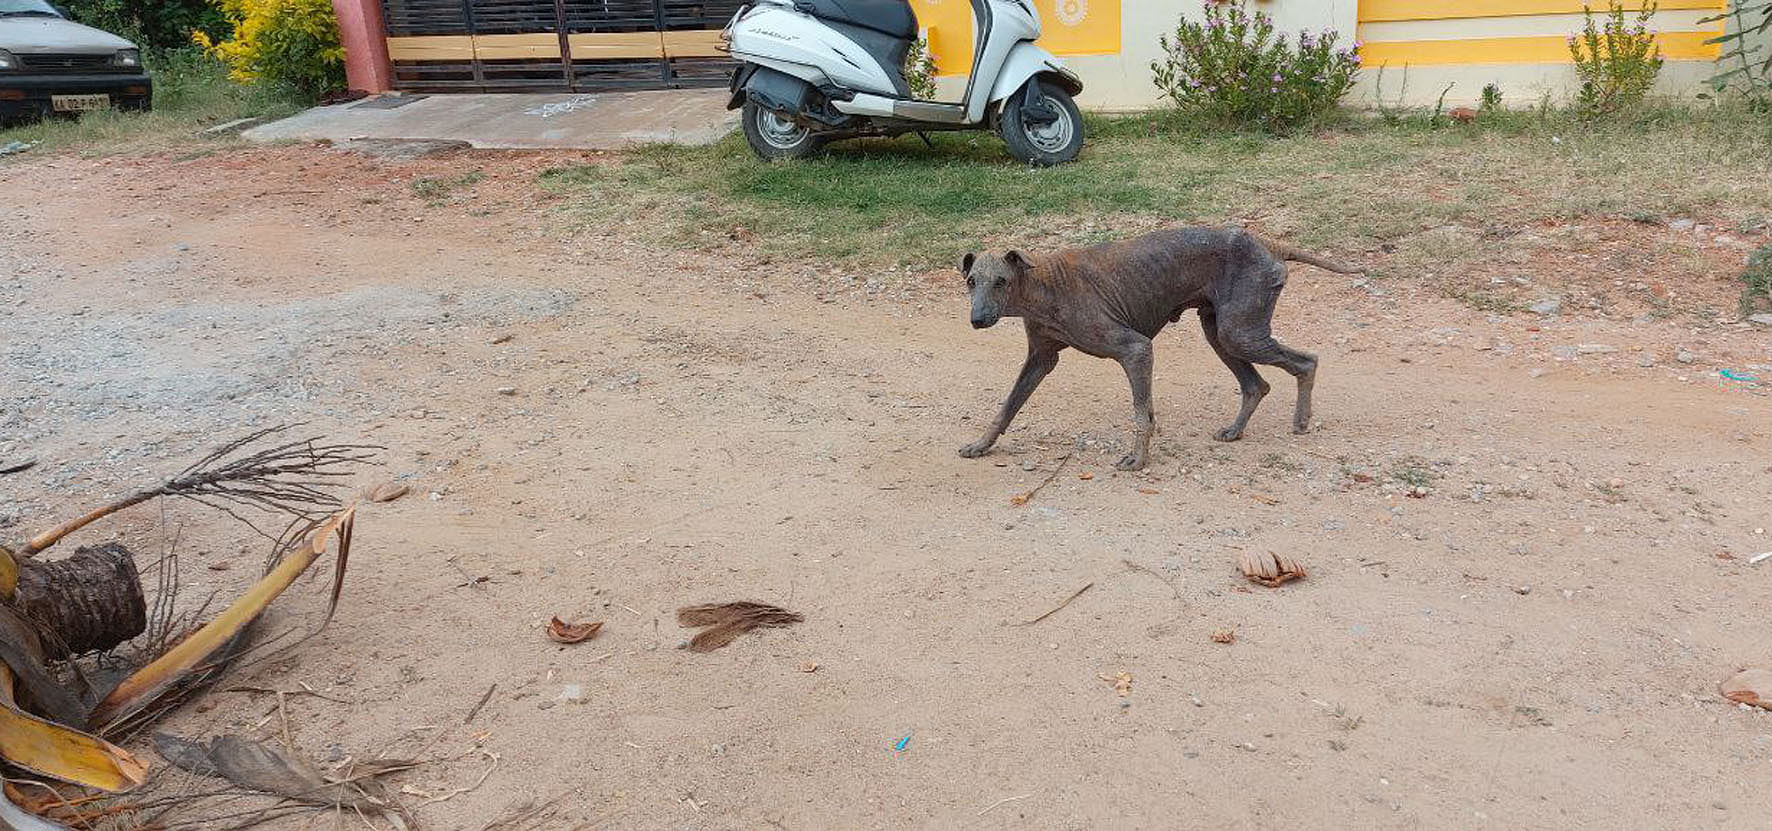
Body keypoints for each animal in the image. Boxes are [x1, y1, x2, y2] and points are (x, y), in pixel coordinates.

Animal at [956, 226, 1353, 471]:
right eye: (972, 281)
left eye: (1001, 281)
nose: (978, 319)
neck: (1042, 283)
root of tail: (1268, 243)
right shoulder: (1041, 359)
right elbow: (1006, 408)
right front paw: (981, 444)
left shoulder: (1136, 350)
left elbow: (1141, 415)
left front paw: (1138, 459)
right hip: (1220, 332)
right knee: (1257, 385)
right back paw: (1235, 430)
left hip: (1239, 334)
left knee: (1307, 362)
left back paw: (1301, 421)